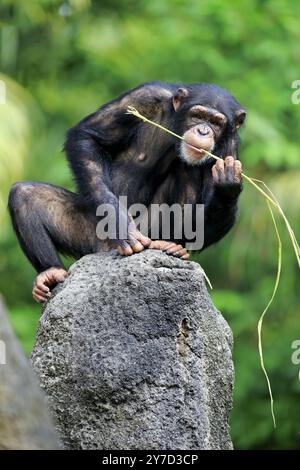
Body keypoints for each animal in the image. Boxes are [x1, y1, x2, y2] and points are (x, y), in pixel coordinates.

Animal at [8, 81, 246, 302]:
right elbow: (88, 136)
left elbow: (205, 223)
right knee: (24, 194)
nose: (203, 131)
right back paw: (50, 273)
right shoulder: (144, 97)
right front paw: (119, 222)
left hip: (149, 230)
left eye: (216, 122)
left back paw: (172, 245)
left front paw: (227, 185)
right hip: (92, 234)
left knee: (187, 169)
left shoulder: (230, 147)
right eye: (197, 115)